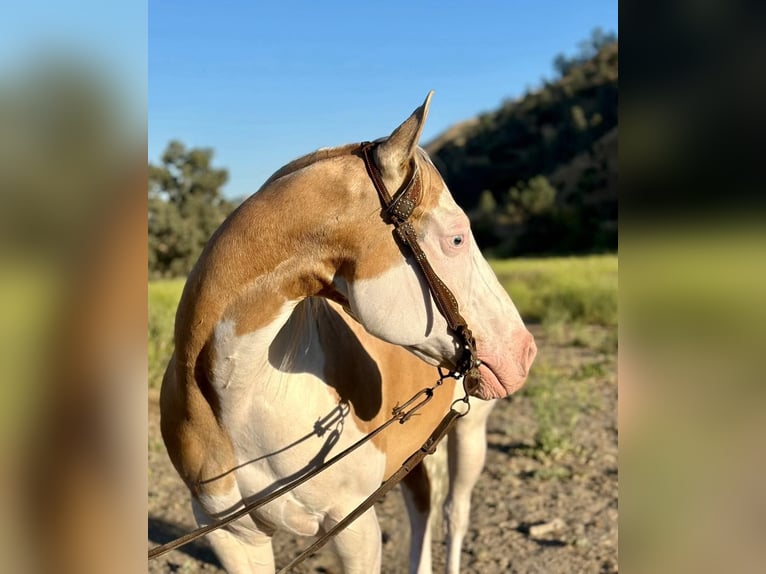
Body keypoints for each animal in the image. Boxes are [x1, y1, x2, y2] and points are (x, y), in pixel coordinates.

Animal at [160, 92, 536, 573]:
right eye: (456, 239)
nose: (524, 351)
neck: (242, 396)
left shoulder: (354, 528)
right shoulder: (232, 537)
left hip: (470, 433)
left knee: (454, 513)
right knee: (423, 509)